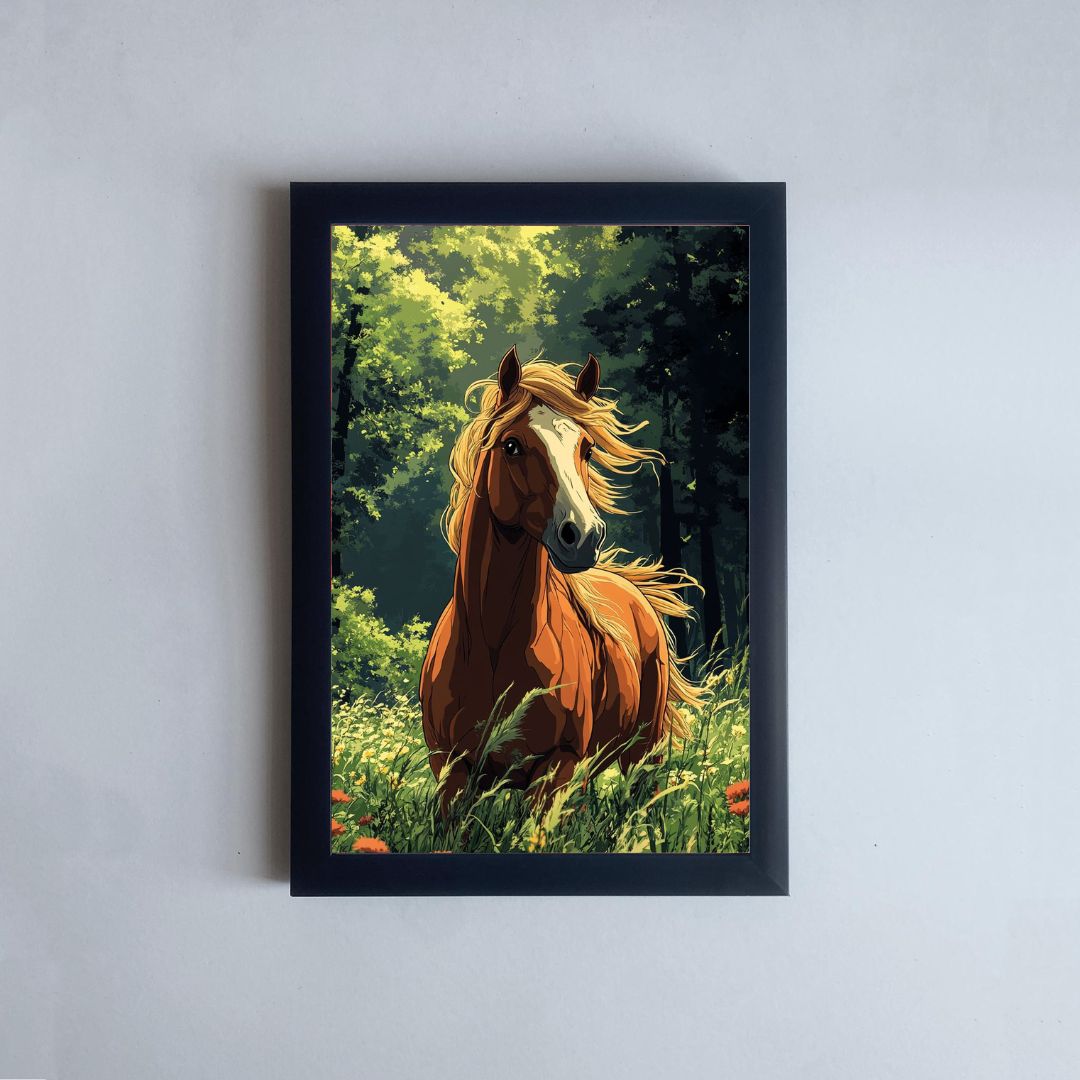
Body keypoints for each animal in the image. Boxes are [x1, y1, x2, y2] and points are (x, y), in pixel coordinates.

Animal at [419, 346, 702, 812]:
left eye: (586, 449)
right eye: (512, 445)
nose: (583, 536)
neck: (492, 645)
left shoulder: (557, 766)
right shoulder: (451, 771)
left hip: (643, 755)